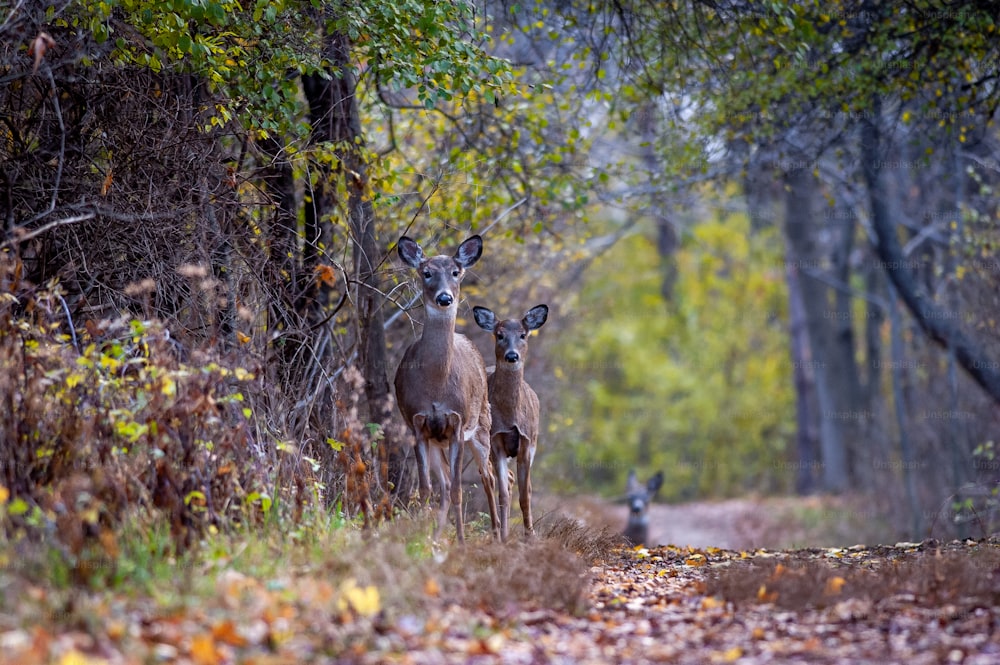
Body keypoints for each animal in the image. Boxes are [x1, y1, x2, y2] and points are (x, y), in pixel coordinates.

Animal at [390, 236, 500, 544]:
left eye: (456, 272)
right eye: (426, 272)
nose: (444, 298)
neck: (437, 385)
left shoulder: (458, 423)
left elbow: (459, 490)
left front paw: (461, 543)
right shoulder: (417, 423)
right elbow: (426, 487)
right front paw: (421, 538)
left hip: (482, 426)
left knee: (488, 477)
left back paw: (498, 534)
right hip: (438, 441)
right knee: (446, 482)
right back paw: (438, 536)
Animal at [470, 304, 548, 544]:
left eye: (523, 335)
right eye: (499, 335)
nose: (512, 355)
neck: (511, 416)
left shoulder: (527, 440)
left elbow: (525, 494)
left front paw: (530, 535)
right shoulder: (496, 440)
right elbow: (503, 494)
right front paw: (505, 538)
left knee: (511, 480)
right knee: (488, 481)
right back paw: (497, 532)